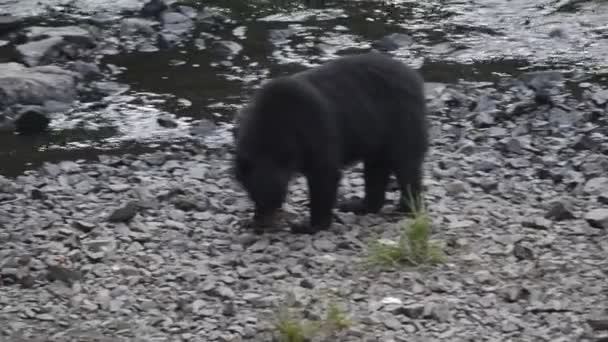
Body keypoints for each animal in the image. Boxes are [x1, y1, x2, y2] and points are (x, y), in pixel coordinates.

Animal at [232, 50, 428, 234]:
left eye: (275, 197)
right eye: (253, 195)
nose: (262, 223)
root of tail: (414, 76)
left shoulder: (314, 128)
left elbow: (324, 174)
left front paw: (309, 225)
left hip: (400, 118)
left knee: (405, 164)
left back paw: (405, 208)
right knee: (376, 169)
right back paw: (358, 205)